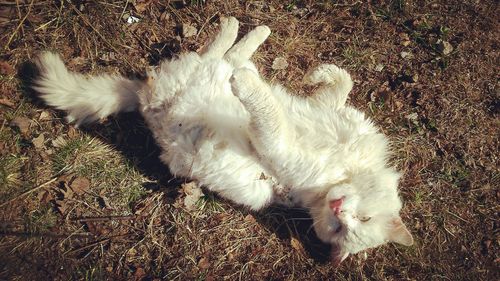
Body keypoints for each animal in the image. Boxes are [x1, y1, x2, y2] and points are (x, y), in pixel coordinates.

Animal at [33, 17, 412, 262]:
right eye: (358, 220)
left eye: (339, 229)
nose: (338, 210)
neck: (346, 169)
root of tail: (141, 95)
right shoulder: (329, 112)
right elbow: (341, 83)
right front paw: (319, 74)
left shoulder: (280, 147)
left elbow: (268, 111)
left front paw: (247, 85)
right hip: (199, 74)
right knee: (224, 53)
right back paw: (247, 28)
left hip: (189, 87)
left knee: (223, 56)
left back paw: (238, 44)